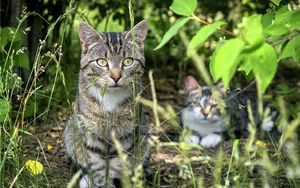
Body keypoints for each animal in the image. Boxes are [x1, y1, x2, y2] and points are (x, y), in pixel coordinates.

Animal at [65, 20, 150, 188]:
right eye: (102, 62)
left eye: (128, 61)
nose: (116, 76)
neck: (111, 99)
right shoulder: (90, 132)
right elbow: (97, 167)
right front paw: (101, 183)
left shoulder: (126, 135)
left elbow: (116, 165)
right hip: (71, 134)